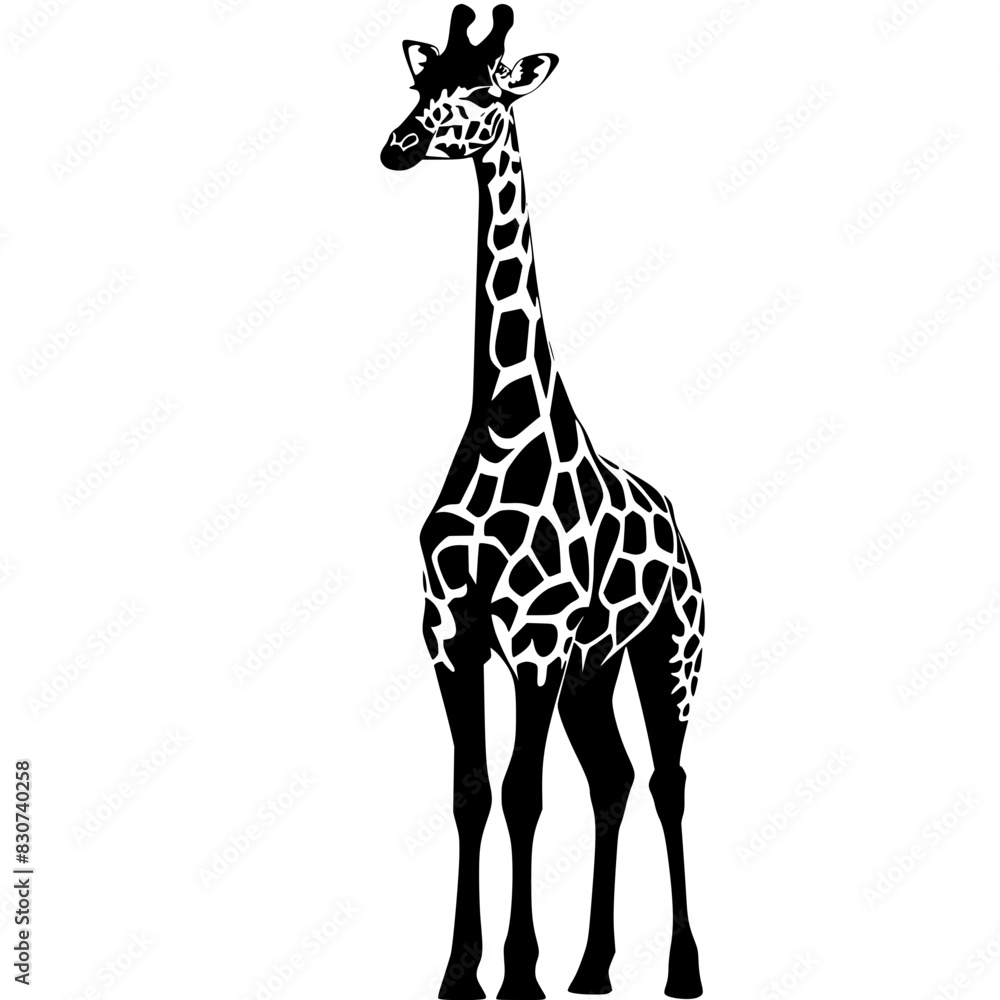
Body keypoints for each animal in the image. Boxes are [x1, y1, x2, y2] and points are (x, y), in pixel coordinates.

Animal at [380, 6, 704, 998]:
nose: (398, 145)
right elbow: (471, 792)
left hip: (669, 654)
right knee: (614, 776)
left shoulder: (535, 634)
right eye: (420, 83)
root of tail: (680, 524)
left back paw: (682, 971)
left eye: (486, 90)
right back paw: (594, 967)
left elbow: (524, 792)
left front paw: (516, 974)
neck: (501, 426)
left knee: (668, 779)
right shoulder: (450, 627)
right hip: (594, 672)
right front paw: (461, 974)